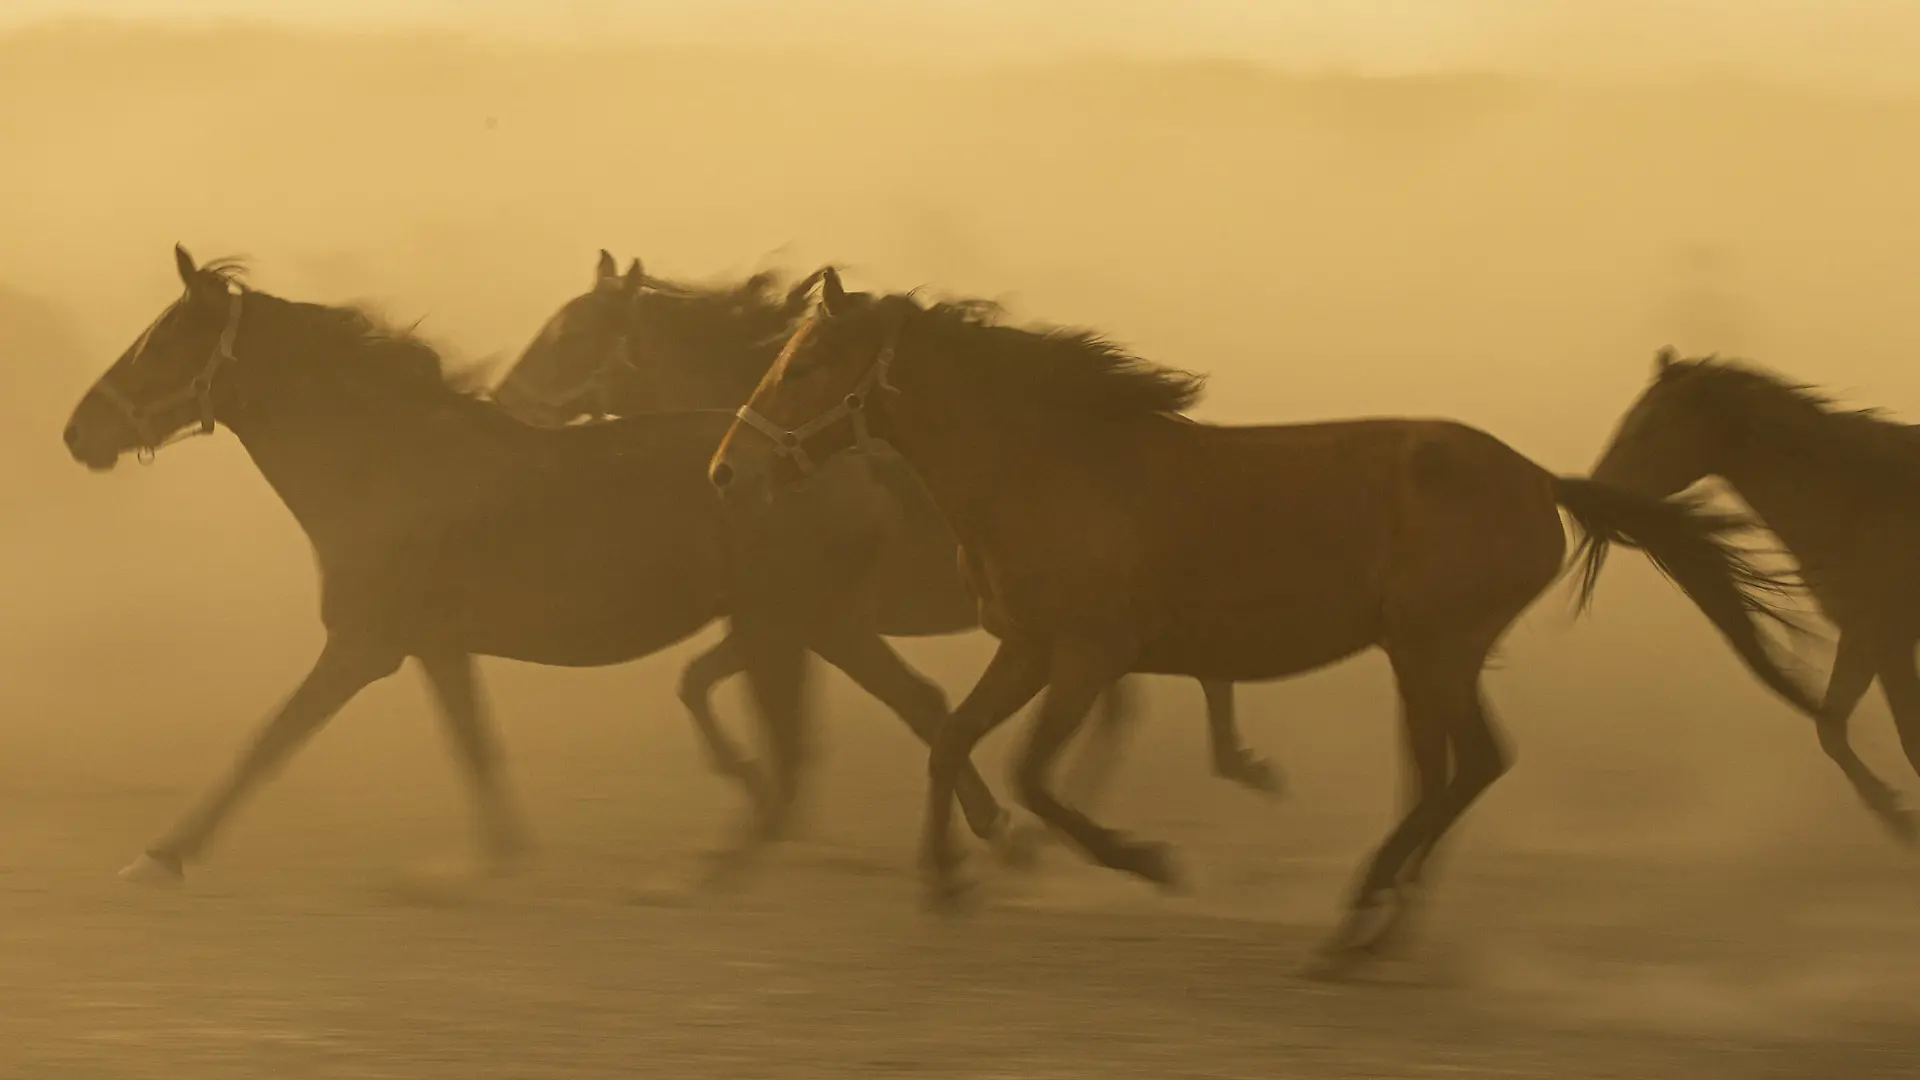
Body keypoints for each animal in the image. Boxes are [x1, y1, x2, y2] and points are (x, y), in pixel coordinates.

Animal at [59, 245, 1019, 884]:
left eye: (161, 342)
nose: (78, 431)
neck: (385, 463)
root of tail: (851, 464)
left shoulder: (363, 646)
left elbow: (269, 740)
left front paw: (160, 856)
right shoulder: (435, 647)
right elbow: (476, 747)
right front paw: (499, 857)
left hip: (809, 623)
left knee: (892, 713)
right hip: (795, 626)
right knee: (874, 720)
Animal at [492, 252, 1280, 817]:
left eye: (570, 336)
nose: (502, 401)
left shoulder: (815, 617)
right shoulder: (793, 618)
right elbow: (698, 680)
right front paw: (747, 775)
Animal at [706, 268, 1822, 976]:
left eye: (805, 366)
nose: (727, 470)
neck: (1050, 467)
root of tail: (1540, 479)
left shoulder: (1090, 656)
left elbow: (1031, 775)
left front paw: (1146, 860)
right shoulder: (1026, 648)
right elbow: (949, 743)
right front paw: (945, 882)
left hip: (1434, 649)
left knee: (1466, 769)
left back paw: (1355, 928)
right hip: (1427, 658)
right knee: (1450, 774)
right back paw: (1379, 924)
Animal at [1595, 348, 1920, 844]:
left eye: (1652, 426)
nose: (1594, 493)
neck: (1860, 501)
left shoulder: (1885, 635)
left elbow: (1906, 737)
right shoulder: (1867, 637)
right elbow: (1832, 727)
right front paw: (1898, 816)